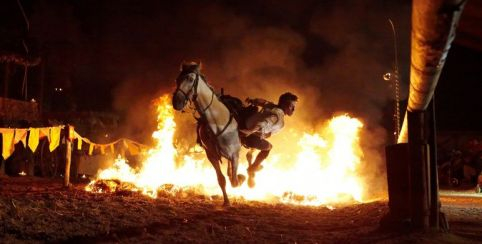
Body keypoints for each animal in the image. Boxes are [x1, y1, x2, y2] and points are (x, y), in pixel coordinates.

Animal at [171, 61, 245, 206]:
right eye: (177, 79)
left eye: (190, 79)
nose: (176, 102)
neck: (216, 121)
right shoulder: (211, 155)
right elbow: (221, 179)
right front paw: (226, 202)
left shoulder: (234, 154)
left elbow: (235, 181)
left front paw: (241, 178)